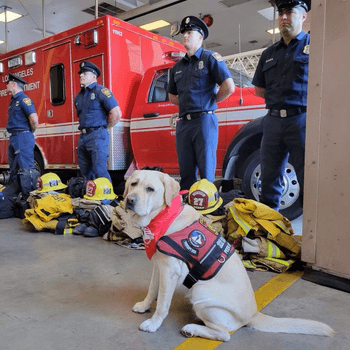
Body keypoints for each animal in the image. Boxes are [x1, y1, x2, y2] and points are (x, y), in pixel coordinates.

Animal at [124, 171, 334, 340]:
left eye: (150, 189)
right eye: (133, 184)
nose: (130, 200)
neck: (162, 217)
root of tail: (253, 314)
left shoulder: (170, 270)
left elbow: (162, 304)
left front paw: (153, 324)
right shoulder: (159, 266)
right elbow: (153, 289)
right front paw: (144, 305)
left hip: (201, 294)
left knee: (224, 334)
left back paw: (192, 329)